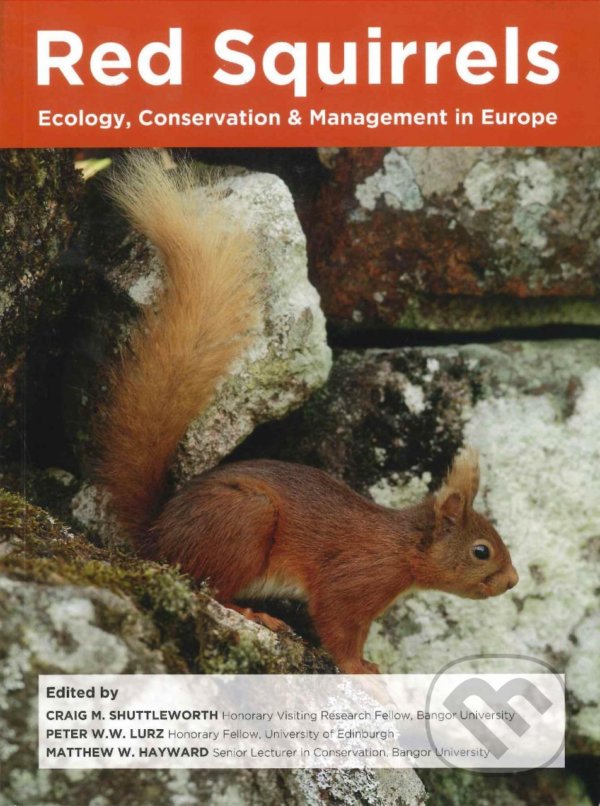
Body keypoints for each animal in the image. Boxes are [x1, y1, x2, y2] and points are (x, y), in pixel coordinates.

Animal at [97, 151, 519, 674]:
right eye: (482, 551)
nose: (512, 581)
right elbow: (339, 627)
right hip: (244, 522)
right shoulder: (354, 580)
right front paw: (364, 671)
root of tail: (158, 538)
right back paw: (254, 613)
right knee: (209, 587)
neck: (402, 547)